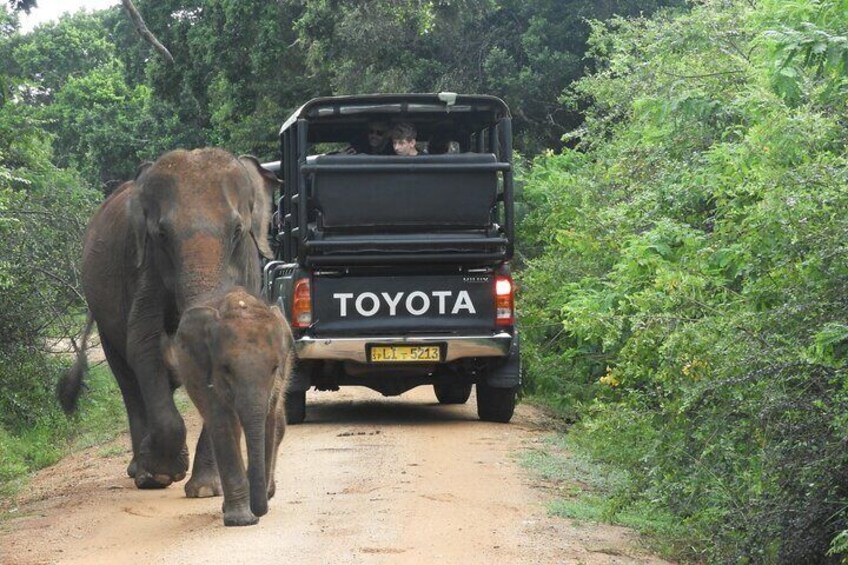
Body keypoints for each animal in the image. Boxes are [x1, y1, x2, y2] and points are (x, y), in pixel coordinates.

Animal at [58, 148, 280, 492]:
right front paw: (162, 474)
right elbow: (144, 346)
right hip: (105, 317)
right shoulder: (144, 270)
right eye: (161, 235)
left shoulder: (249, 271)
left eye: (237, 231)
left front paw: (206, 489)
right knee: (127, 380)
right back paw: (141, 471)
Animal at [163, 287, 293, 526]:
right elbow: (222, 423)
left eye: (274, 367)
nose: (259, 512)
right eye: (226, 369)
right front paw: (241, 521)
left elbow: (268, 421)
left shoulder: (278, 379)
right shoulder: (203, 371)